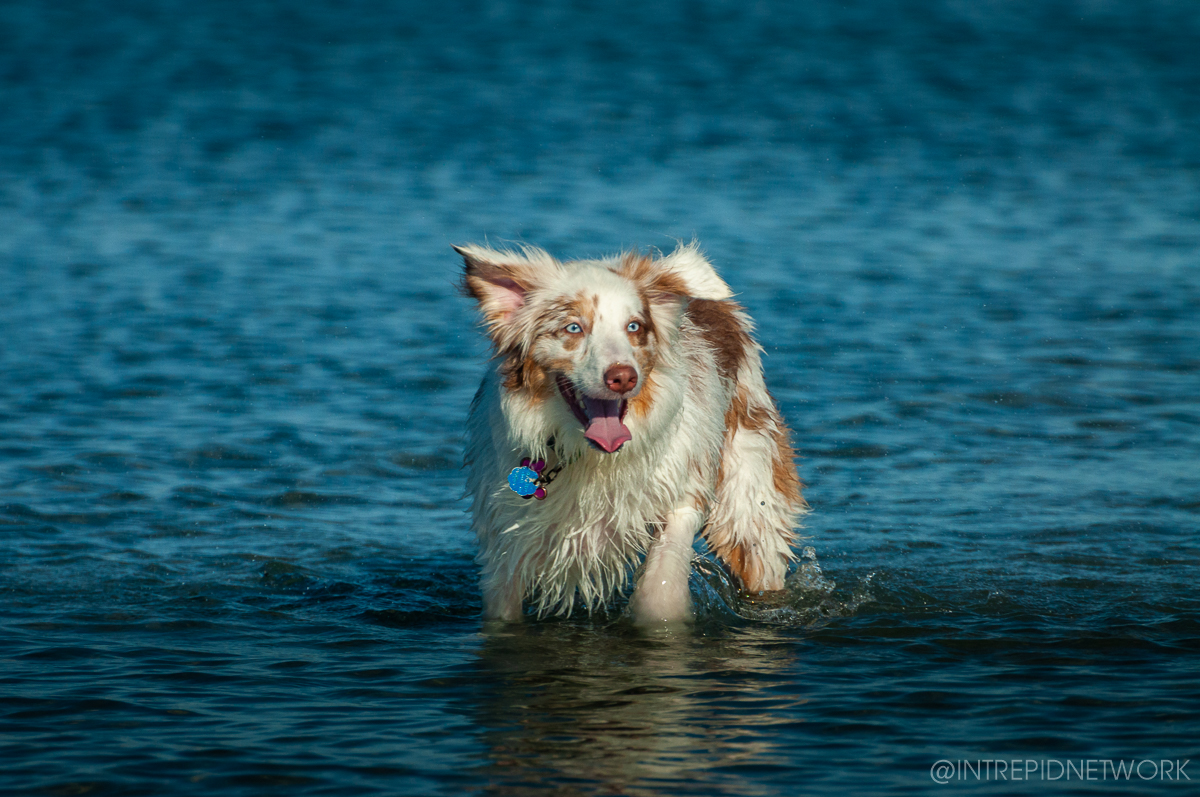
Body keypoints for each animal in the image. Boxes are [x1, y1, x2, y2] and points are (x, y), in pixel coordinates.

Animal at [456, 240, 806, 624]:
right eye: (573, 328)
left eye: (634, 327)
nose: (623, 376)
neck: (588, 457)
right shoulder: (505, 532)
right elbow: (503, 604)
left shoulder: (681, 489)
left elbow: (659, 590)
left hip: (748, 500)